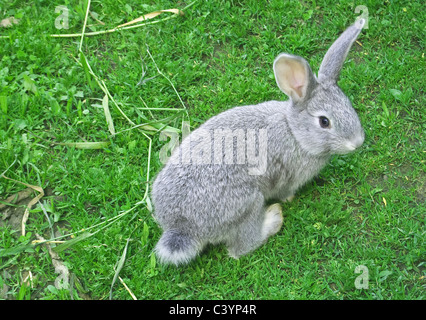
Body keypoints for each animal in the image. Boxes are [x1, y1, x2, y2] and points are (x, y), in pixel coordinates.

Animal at [151, 18, 366, 266]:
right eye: (324, 121)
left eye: (349, 105)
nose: (357, 142)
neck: (294, 132)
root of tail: (182, 226)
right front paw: (289, 199)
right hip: (248, 204)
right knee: (240, 248)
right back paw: (273, 218)